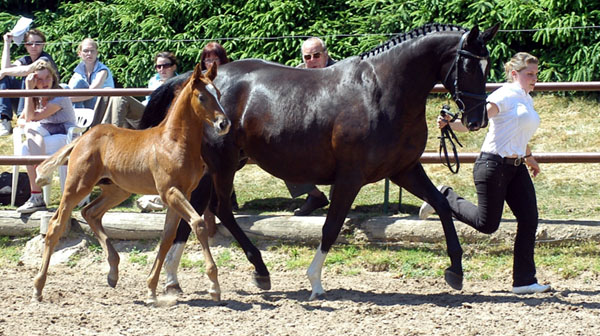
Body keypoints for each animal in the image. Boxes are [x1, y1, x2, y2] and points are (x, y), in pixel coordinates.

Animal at [32, 61, 231, 304]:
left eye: (218, 94)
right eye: (202, 97)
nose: (224, 123)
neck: (174, 142)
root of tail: (83, 138)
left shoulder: (182, 193)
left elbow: (167, 237)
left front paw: (151, 290)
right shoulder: (170, 192)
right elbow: (199, 224)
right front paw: (214, 286)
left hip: (118, 190)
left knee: (91, 212)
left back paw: (112, 272)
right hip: (76, 187)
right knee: (56, 226)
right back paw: (38, 288)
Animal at [143, 23, 500, 300]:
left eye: (487, 65)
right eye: (470, 66)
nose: (477, 120)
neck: (383, 91)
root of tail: (195, 81)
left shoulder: (404, 170)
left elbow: (441, 204)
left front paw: (455, 271)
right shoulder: (350, 178)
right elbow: (332, 226)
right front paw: (315, 281)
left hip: (215, 165)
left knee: (196, 209)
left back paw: (174, 279)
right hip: (223, 163)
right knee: (219, 209)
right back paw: (259, 271)